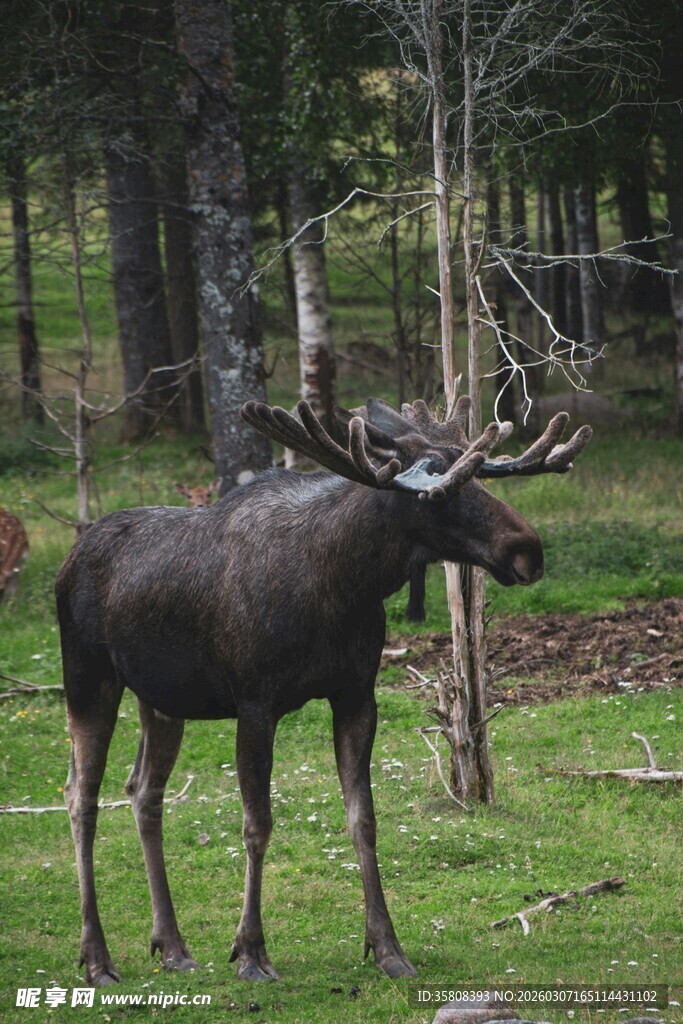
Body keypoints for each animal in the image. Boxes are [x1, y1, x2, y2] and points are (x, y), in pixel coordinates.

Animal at [55, 395, 591, 986]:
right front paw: (251, 951)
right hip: (88, 678)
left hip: (162, 699)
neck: (343, 582)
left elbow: (364, 820)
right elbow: (257, 824)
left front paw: (387, 947)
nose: (528, 550)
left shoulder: (356, 694)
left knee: (143, 791)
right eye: (439, 494)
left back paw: (172, 945)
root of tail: (67, 560)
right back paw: (97, 957)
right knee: (80, 798)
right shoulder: (255, 701)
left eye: (477, 474)